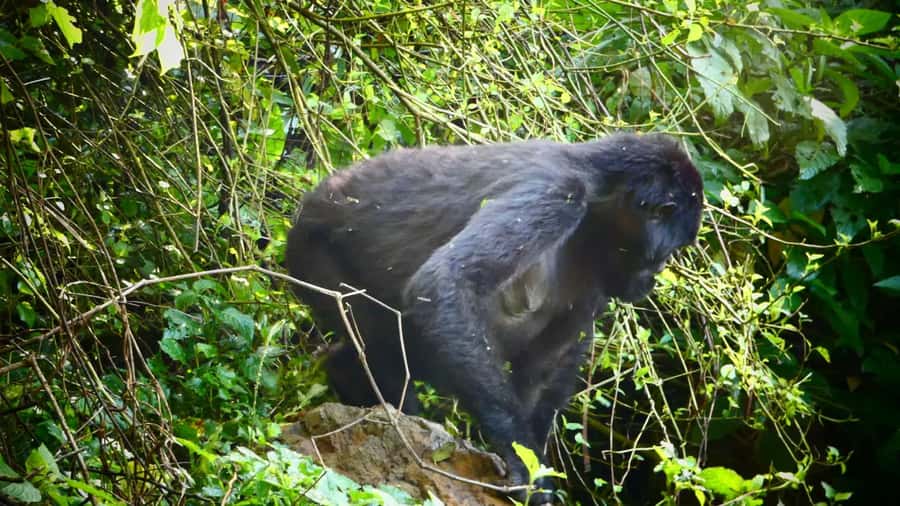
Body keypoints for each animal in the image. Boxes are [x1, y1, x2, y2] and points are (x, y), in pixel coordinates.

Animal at [285, 132, 703, 503]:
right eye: (670, 248)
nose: (654, 276)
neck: (599, 185)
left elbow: (544, 365)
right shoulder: (555, 194)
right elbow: (447, 283)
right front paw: (521, 462)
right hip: (311, 252)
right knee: (385, 345)